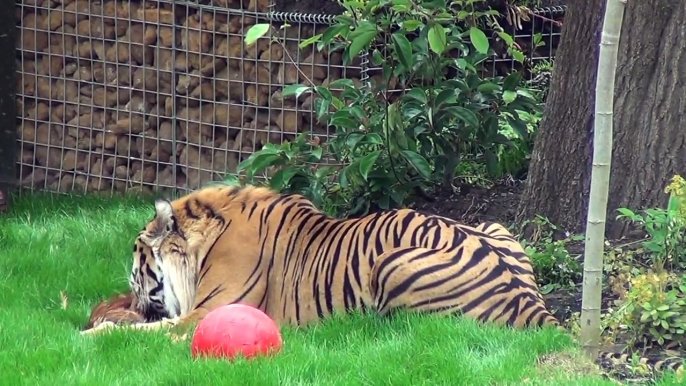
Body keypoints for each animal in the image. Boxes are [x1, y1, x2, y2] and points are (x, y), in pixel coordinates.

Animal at [82, 184, 686, 374]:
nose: (130, 293)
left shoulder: (205, 314)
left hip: (392, 263)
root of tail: (534, 305)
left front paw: (93, 332)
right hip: (498, 227)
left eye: (137, 267)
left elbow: (148, 331)